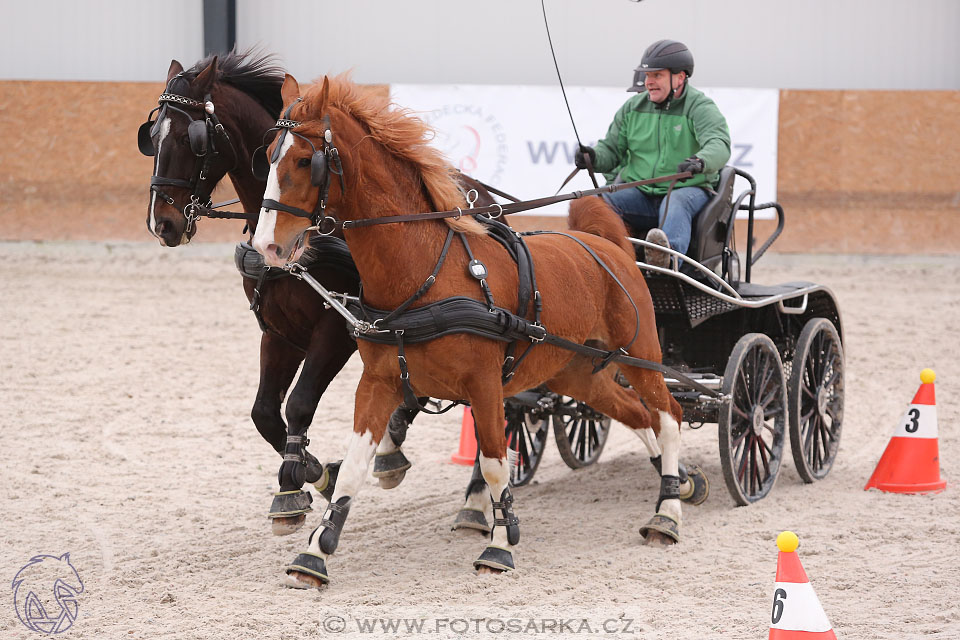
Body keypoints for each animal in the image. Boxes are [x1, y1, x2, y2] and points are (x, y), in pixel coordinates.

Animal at [138, 51, 506, 536]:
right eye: (152, 136)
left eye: (190, 138)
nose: (162, 224)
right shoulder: (278, 332)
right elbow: (264, 412)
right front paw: (307, 477)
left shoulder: (335, 329)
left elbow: (299, 402)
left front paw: (301, 481)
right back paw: (393, 448)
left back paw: (475, 497)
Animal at [251, 72, 692, 588]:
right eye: (267, 155)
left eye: (306, 160)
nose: (265, 247)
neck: (427, 272)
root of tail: (607, 245)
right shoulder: (377, 381)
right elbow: (354, 468)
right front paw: (315, 553)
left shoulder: (484, 386)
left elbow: (497, 465)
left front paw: (500, 545)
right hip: (577, 372)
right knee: (637, 415)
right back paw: (677, 483)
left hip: (639, 355)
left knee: (668, 417)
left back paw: (668, 511)